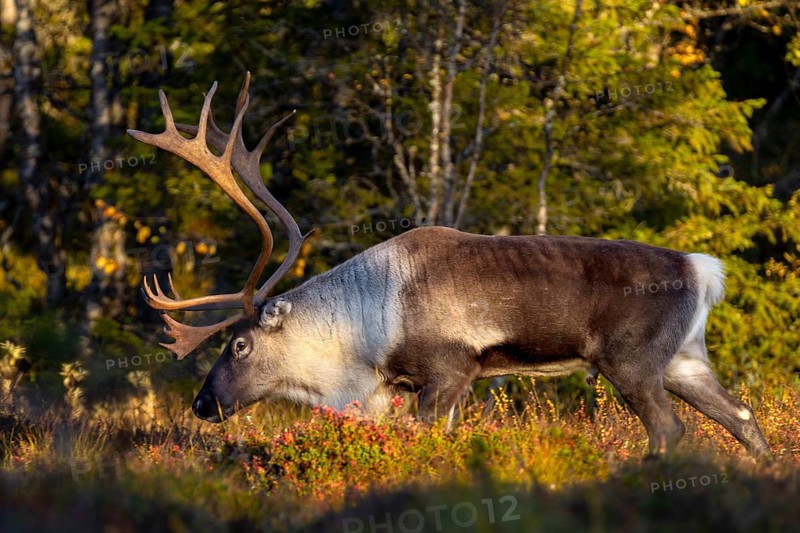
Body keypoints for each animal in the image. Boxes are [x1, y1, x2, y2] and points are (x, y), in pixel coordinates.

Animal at [128, 73, 772, 460]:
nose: (202, 404)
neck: (360, 334)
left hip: (631, 361)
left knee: (670, 429)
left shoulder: (449, 369)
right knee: (743, 416)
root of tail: (702, 271)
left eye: (238, 346)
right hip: (684, 359)